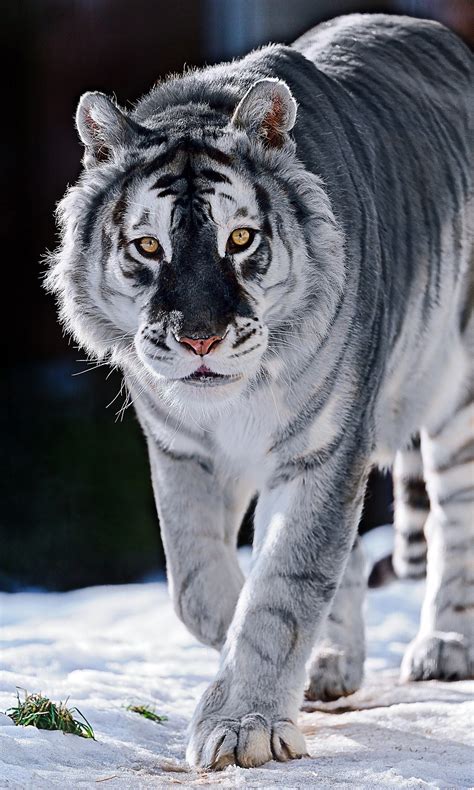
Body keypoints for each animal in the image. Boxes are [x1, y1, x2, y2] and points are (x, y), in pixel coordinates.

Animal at [45, 12, 474, 772]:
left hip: (459, 400)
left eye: (240, 239)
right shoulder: (181, 452)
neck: (232, 407)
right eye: (149, 248)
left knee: (456, 526)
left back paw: (444, 647)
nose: (200, 340)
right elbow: (199, 588)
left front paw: (244, 723)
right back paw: (333, 662)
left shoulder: (324, 449)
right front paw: (254, 667)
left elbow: (282, 586)